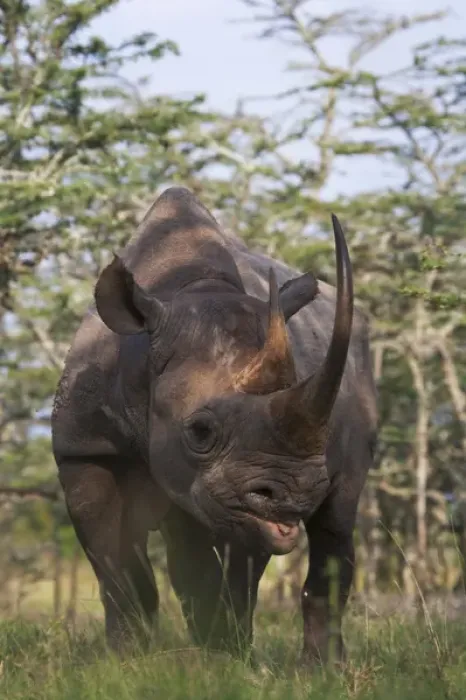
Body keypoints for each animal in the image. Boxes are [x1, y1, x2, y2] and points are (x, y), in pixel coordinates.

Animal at [52, 187, 377, 666]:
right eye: (200, 431)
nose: (295, 494)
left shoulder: (235, 488)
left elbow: (223, 565)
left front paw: (223, 657)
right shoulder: (87, 449)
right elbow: (117, 565)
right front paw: (126, 661)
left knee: (333, 516)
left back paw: (320, 670)